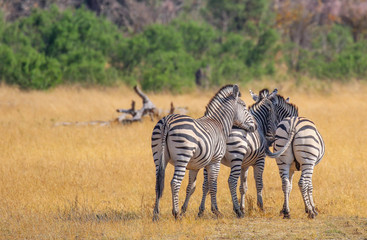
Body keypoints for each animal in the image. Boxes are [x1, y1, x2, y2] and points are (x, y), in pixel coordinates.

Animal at [152, 85, 256, 221]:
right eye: (244, 106)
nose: (254, 126)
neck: (219, 124)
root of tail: (167, 121)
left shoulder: (196, 166)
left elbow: (195, 186)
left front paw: (190, 210)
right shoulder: (215, 161)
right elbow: (213, 185)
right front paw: (216, 211)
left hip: (158, 156)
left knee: (158, 183)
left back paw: (156, 214)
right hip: (182, 156)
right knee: (175, 182)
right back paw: (176, 214)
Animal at [181, 88, 278, 218]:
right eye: (273, 112)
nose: (272, 139)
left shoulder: (244, 164)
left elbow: (243, 187)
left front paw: (242, 207)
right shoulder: (260, 160)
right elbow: (259, 183)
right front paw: (260, 207)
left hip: (211, 159)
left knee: (206, 184)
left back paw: (201, 211)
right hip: (236, 156)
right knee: (231, 181)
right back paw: (235, 211)